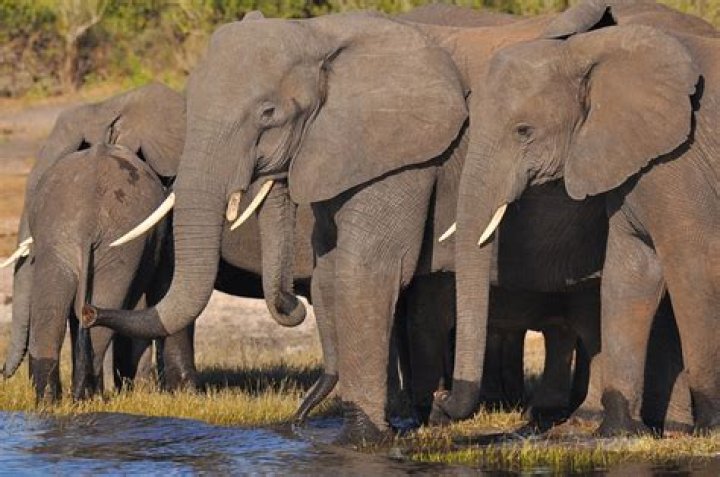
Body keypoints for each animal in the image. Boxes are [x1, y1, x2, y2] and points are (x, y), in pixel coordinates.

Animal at [434, 0, 719, 435]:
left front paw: (711, 427)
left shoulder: (680, 158)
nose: (441, 404)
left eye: (523, 131)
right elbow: (629, 272)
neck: (586, 53)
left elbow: (693, 268)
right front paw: (617, 433)